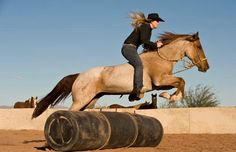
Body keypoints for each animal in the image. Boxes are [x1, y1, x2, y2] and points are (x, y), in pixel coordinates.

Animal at [31, 31, 208, 118]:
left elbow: (180, 83)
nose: (206, 67)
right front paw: (171, 97)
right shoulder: (160, 81)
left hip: (90, 101)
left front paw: (169, 96)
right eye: (199, 47)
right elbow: (181, 81)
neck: (161, 57)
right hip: (80, 100)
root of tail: (79, 75)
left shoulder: (161, 83)